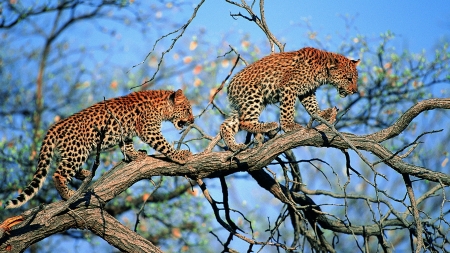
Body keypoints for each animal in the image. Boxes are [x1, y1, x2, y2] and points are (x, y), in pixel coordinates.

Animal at [3, 89, 193, 210]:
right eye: (187, 110)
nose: (193, 120)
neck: (162, 107)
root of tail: (55, 127)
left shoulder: (126, 132)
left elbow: (127, 145)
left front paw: (135, 155)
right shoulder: (149, 130)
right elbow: (164, 145)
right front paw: (180, 155)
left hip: (70, 152)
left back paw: (85, 174)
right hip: (78, 150)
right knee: (58, 173)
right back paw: (68, 193)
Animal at [220, 46, 360, 151]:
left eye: (355, 79)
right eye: (349, 78)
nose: (355, 91)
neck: (323, 70)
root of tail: (229, 86)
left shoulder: (307, 91)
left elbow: (312, 105)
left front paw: (321, 113)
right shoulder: (288, 86)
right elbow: (288, 109)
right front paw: (288, 125)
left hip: (245, 104)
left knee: (226, 125)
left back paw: (234, 146)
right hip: (253, 96)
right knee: (244, 121)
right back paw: (268, 126)